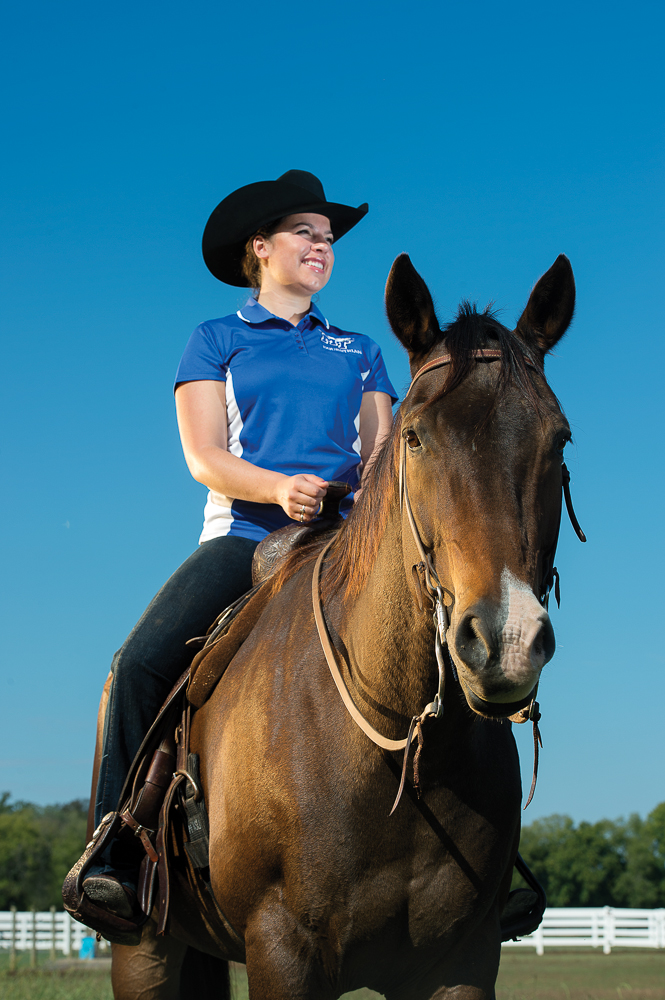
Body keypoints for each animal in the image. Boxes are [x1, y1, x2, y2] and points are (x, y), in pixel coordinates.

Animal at [110, 251, 577, 1000]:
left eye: (557, 439)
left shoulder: (462, 962)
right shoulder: (283, 951)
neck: (399, 750)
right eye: (415, 437)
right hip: (144, 948)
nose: (505, 641)